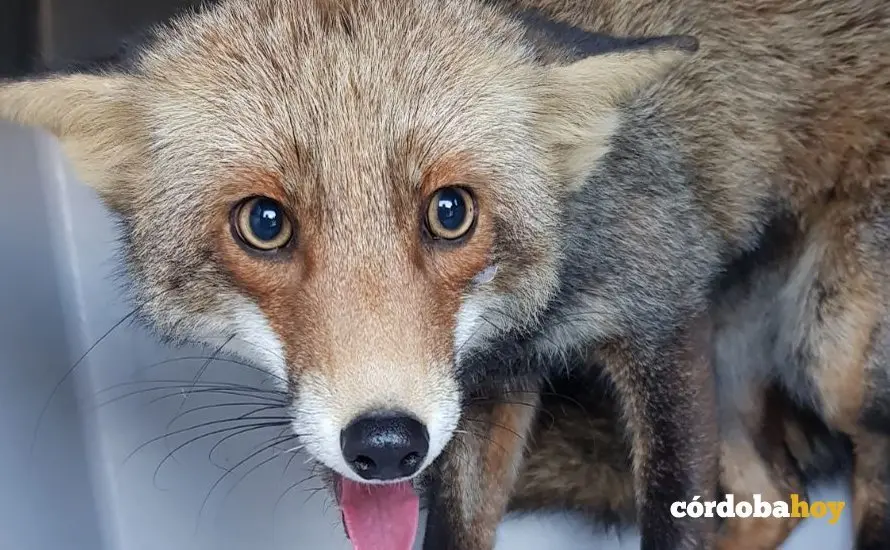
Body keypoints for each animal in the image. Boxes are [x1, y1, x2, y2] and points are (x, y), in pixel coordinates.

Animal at [1, 0, 889, 549]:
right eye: (264, 223)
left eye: (450, 211)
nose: (386, 445)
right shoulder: (487, 385)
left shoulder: (662, 310)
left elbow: (673, 521)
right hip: (739, 345)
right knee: (770, 496)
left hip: (831, 349)